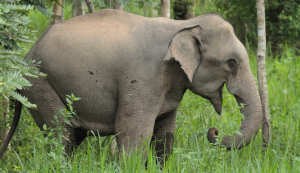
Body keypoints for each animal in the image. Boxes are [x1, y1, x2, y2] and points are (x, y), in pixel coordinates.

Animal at [0, 8, 262, 162]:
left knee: (71, 135)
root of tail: (25, 56)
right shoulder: (143, 78)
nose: (214, 131)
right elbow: (134, 131)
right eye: (231, 63)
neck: (182, 25)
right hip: (39, 83)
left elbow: (165, 132)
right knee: (61, 131)